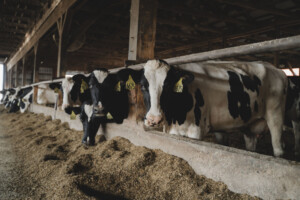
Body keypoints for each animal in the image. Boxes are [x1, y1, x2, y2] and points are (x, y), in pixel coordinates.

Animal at [141, 58, 288, 157]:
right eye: (143, 86)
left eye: (167, 85)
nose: (154, 119)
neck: (175, 118)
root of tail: (276, 69)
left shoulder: (196, 131)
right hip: (249, 123)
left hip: (276, 114)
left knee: (278, 149)